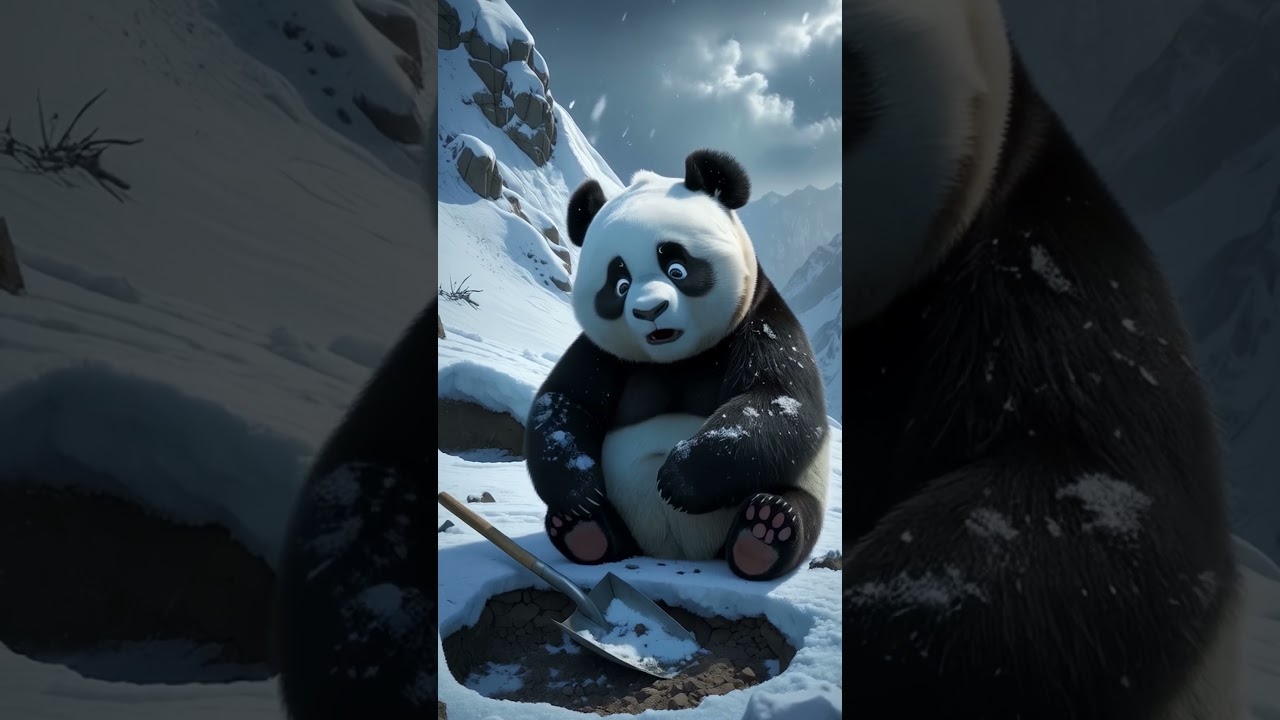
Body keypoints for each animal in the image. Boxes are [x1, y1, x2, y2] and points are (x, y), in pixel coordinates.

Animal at [524, 149, 831, 581]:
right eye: (619, 284)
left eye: (677, 268)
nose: (650, 311)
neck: (677, 360)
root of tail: (680, 551)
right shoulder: (603, 353)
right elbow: (563, 400)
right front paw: (578, 495)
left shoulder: (763, 323)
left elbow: (780, 403)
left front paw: (677, 479)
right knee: (606, 532)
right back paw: (582, 530)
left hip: (803, 485)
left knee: (792, 508)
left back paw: (764, 533)